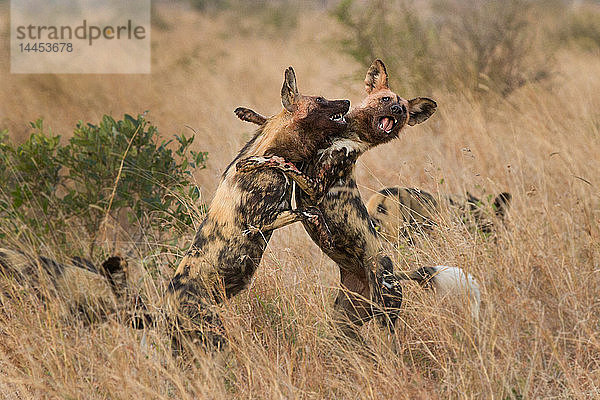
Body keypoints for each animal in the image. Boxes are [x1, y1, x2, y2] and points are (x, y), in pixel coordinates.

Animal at [166, 65, 350, 346]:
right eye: (321, 100)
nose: (348, 102)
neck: (276, 148)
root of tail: (166, 308)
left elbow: (264, 122)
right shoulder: (258, 223)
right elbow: (309, 210)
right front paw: (325, 234)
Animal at [234, 58, 436, 334]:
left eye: (404, 111)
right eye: (385, 99)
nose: (396, 108)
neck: (345, 133)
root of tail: (395, 273)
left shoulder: (315, 185)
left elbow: (282, 163)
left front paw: (254, 161)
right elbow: (270, 121)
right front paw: (248, 114)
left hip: (385, 316)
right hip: (345, 322)